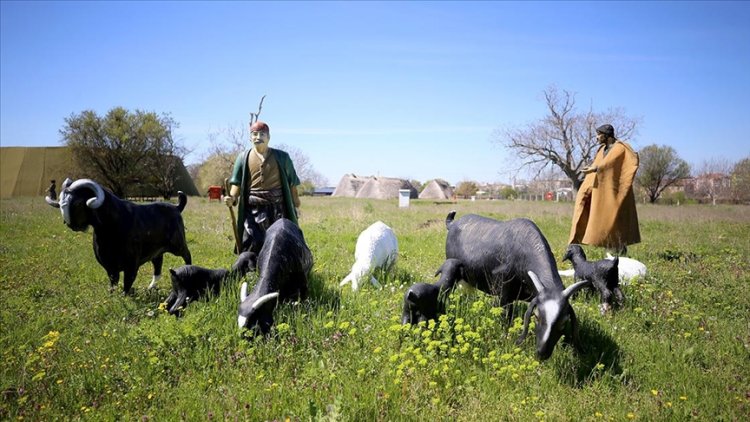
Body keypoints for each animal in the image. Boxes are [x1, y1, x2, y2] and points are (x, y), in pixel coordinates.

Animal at [46, 178, 192, 294]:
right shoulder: (109, 264)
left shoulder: (131, 262)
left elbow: (128, 280)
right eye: (60, 202)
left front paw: (124, 295)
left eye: (78, 203)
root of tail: (176, 207)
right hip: (156, 252)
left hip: (178, 244)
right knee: (158, 266)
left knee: (187, 255)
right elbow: (113, 280)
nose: (69, 224)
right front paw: (112, 294)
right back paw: (150, 287)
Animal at [446, 211, 592, 360]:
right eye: (536, 316)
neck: (521, 254)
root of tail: (453, 224)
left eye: (563, 322)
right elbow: (506, 319)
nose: (542, 353)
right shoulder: (503, 296)